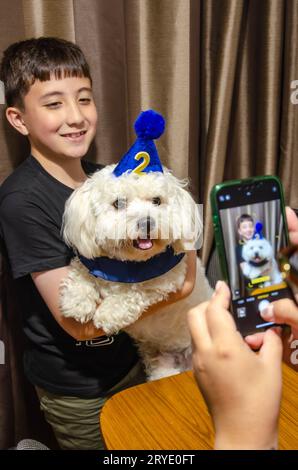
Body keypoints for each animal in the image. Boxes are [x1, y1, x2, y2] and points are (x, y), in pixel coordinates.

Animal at [59, 163, 212, 380]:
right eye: (118, 203)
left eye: (157, 200)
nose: (147, 222)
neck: (127, 264)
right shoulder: (93, 262)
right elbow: (81, 273)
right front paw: (77, 302)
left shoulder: (167, 280)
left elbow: (133, 292)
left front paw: (108, 313)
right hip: (162, 365)